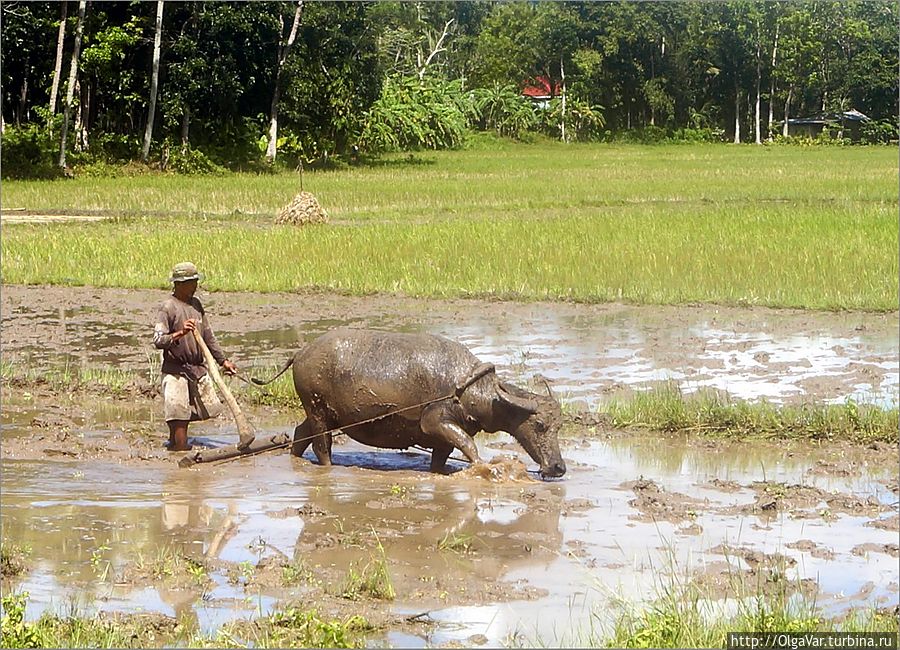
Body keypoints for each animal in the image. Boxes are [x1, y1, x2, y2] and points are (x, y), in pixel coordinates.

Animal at [250, 330, 568, 476]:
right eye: (540, 425)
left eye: (559, 427)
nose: (558, 467)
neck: (473, 391)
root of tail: (300, 354)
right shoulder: (436, 422)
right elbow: (468, 445)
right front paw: (483, 467)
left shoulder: (443, 438)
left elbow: (442, 458)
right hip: (317, 411)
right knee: (321, 445)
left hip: (320, 412)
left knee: (300, 434)